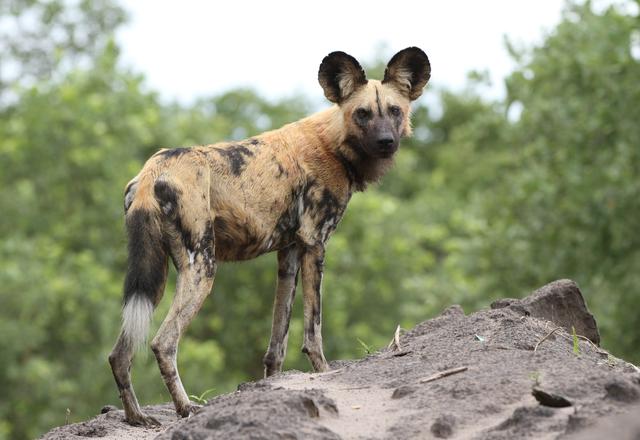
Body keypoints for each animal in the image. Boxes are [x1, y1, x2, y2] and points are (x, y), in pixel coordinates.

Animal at [109, 46, 430, 424]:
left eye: (395, 111)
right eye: (362, 114)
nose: (385, 142)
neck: (334, 144)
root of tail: (151, 172)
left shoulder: (288, 255)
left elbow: (277, 342)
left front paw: (271, 388)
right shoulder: (315, 244)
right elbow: (313, 331)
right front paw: (323, 373)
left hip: (153, 278)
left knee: (119, 354)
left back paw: (136, 416)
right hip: (202, 269)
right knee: (163, 342)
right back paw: (185, 408)